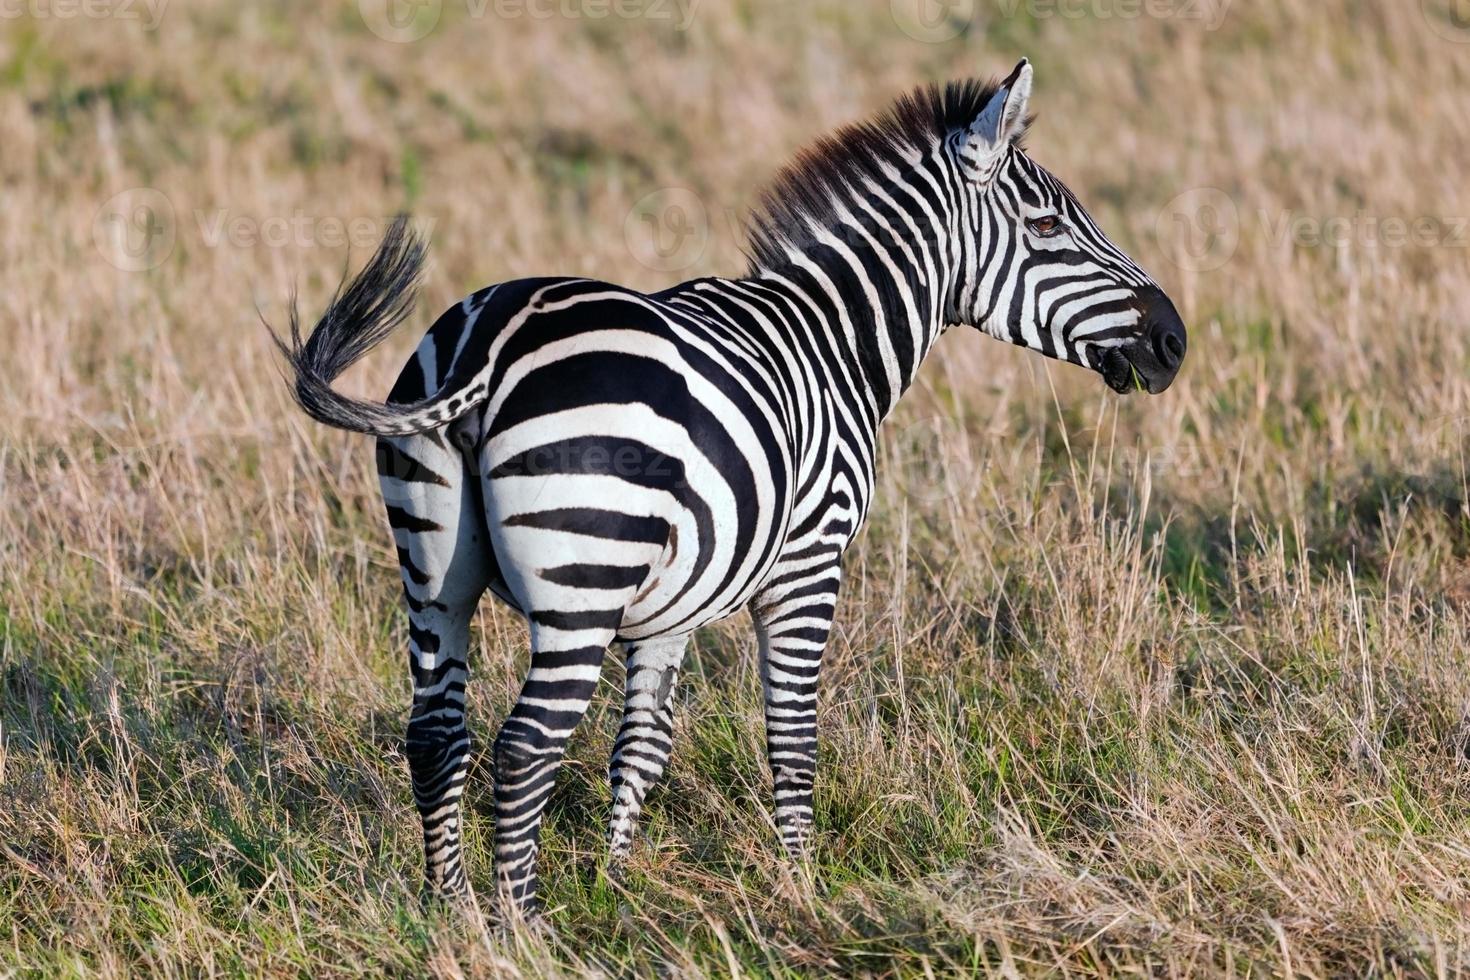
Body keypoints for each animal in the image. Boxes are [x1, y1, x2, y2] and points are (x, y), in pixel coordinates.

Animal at [276, 61, 1187, 916]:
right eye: (1047, 226)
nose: (1173, 341)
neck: (838, 340)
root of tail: (490, 345)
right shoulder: (809, 563)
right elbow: (792, 734)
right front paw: (803, 886)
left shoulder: (671, 601)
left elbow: (642, 745)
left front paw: (616, 885)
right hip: (580, 584)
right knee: (526, 745)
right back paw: (521, 927)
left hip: (434, 575)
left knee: (436, 734)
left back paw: (453, 914)